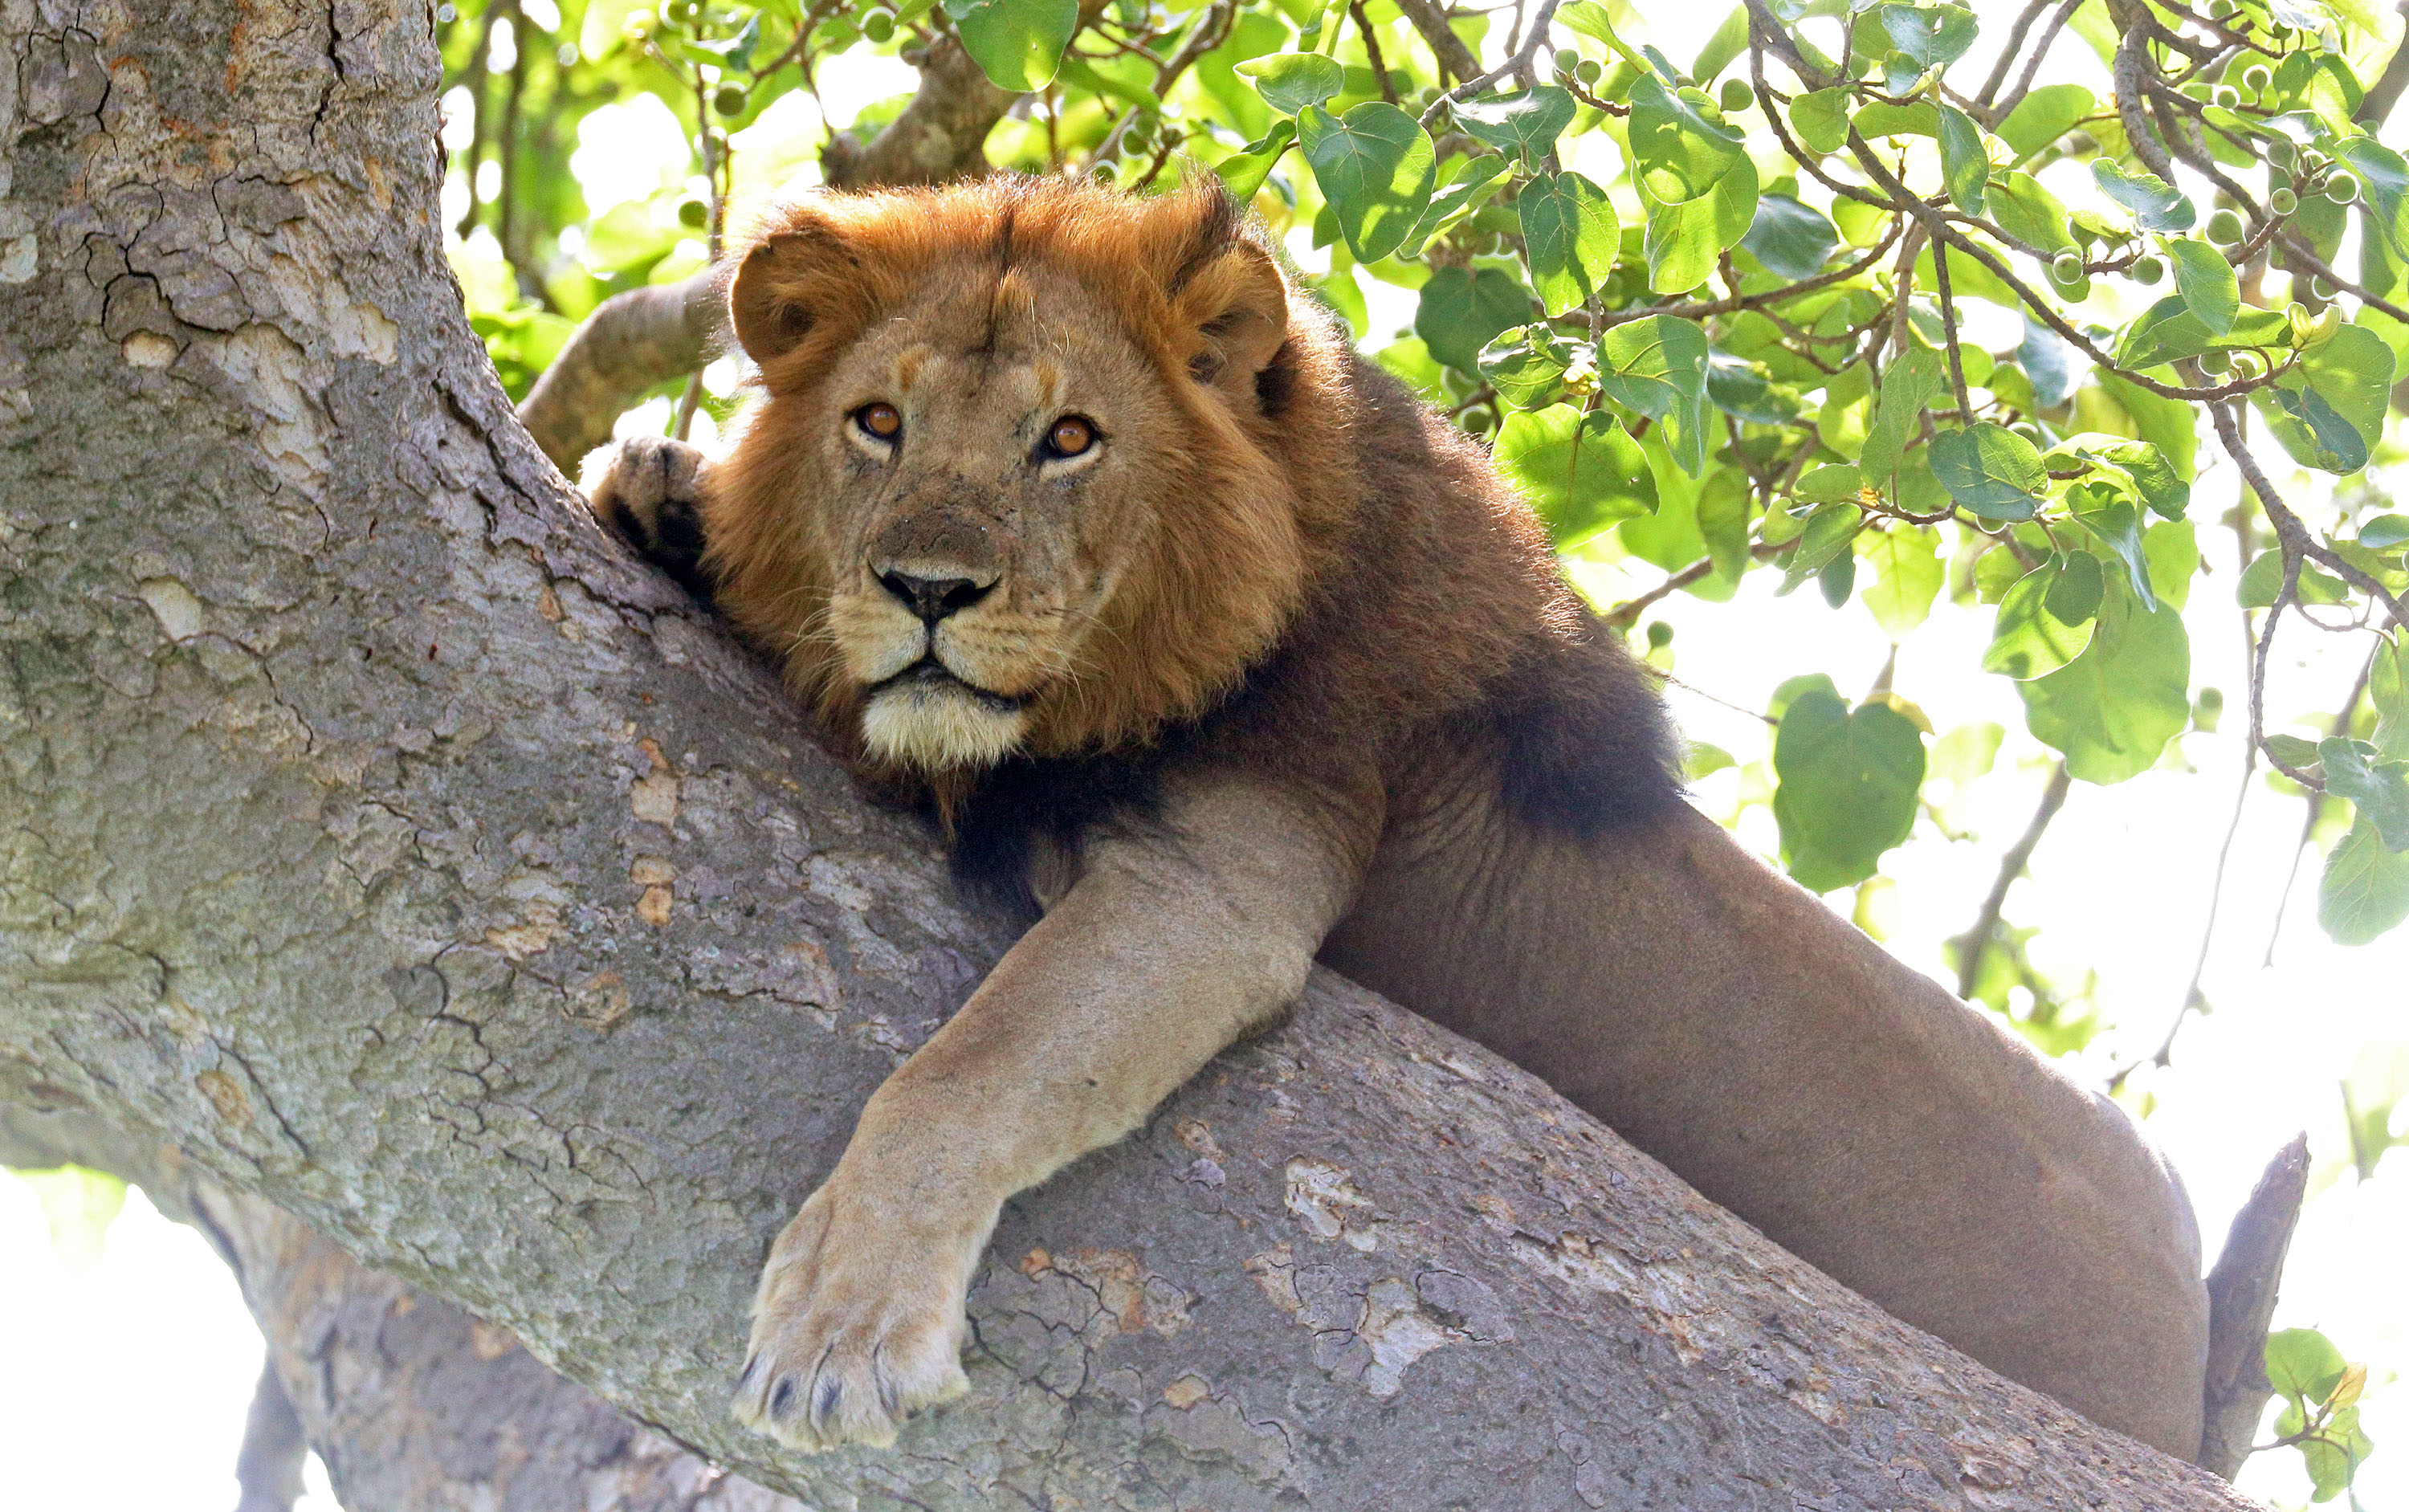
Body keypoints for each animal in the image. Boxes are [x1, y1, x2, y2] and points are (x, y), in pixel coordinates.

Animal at [583, 174, 2255, 1464]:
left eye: (1069, 437)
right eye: (876, 421)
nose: (925, 588)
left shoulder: (1227, 882)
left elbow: (960, 1079)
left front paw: (843, 1325)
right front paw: (662, 489)